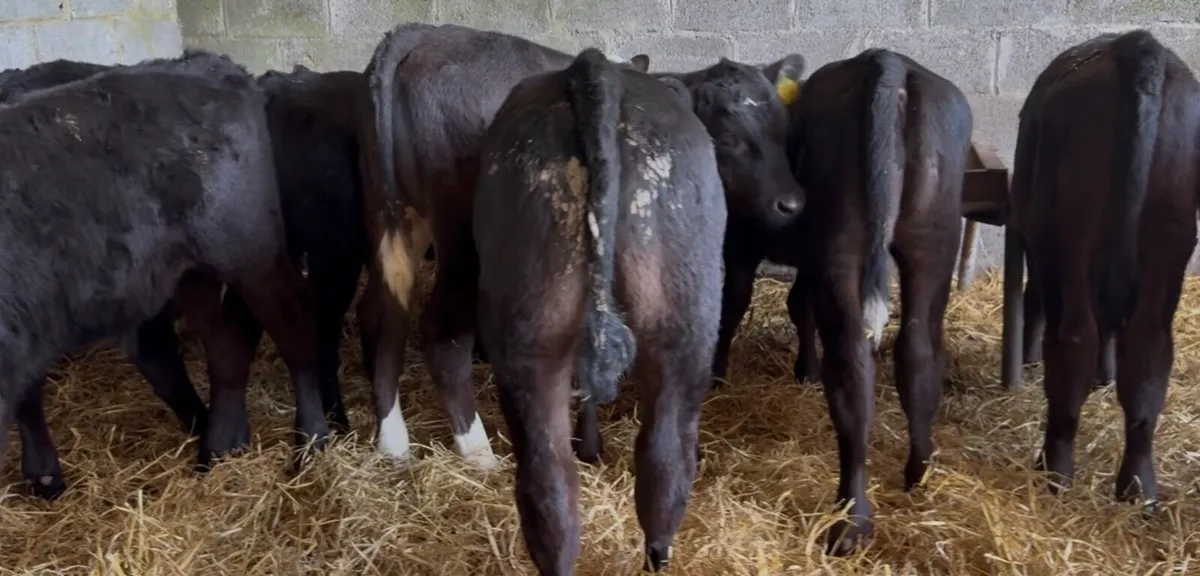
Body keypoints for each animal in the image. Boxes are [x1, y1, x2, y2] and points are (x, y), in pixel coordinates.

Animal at [0, 50, 331, 496]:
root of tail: (209, 65)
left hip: (250, 253)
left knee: (292, 326)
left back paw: (310, 441)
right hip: (190, 272)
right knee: (225, 343)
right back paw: (220, 445)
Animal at [474, 47, 726, 575]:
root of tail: (595, 71)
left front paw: (589, 448)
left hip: (534, 335)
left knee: (554, 485)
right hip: (685, 319)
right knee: (662, 464)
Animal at [768, 49, 971, 555]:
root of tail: (887, 63)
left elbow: (799, 305)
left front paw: (805, 370)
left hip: (847, 242)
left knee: (854, 364)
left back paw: (853, 518)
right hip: (932, 237)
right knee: (914, 352)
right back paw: (912, 475)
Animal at [1010, 30, 1200, 509]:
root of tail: (1135, 45)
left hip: (1070, 240)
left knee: (1075, 339)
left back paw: (1056, 468)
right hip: (1167, 240)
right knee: (1147, 356)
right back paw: (1137, 487)